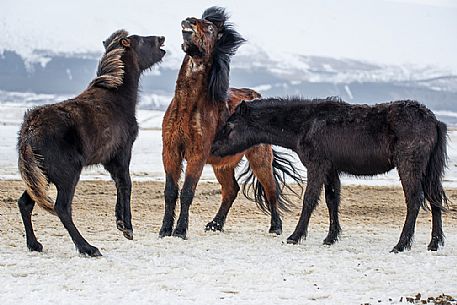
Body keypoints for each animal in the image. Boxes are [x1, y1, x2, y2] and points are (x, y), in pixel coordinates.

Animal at [17, 29, 166, 255]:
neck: (118, 98)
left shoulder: (108, 160)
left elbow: (119, 183)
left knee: (26, 203)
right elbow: (126, 184)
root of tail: (29, 131)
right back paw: (87, 247)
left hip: (42, 176)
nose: (161, 39)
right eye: (140, 40)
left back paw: (34, 245)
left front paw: (120, 222)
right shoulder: (122, 154)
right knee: (61, 208)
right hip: (67, 175)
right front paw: (127, 228)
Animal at [159, 5, 302, 238]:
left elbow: (187, 192)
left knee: (271, 190)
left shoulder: (197, 154)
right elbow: (171, 192)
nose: (189, 21)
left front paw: (180, 231)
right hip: (223, 164)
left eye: (209, 28)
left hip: (259, 157)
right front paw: (164, 231)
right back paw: (215, 224)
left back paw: (276, 227)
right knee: (231, 190)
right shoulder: (170, 151)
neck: (187, 106)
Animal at [212, 97, 448, 252]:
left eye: (230, 125)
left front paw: (295, 236)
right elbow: (332, 200)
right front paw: (330, 237)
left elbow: (309, 200)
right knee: (434, 199)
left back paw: (401, 244)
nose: (212, 149)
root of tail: (434, 121)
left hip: (409, 166)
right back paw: (434, 243)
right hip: (428, 171)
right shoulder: (331, 170)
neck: (306, 123)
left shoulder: (317, 166)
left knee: (414, 201)